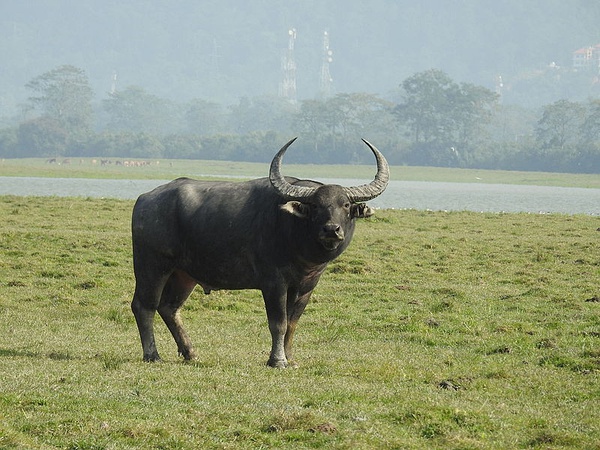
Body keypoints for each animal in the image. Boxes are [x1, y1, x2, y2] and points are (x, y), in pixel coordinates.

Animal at [130, 137, 390, 366]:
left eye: (345, 205)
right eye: (315, 206)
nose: (331, 229)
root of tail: (144, 199)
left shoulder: (306, 286)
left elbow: (293, 323)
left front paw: (290, 358)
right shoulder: (274, 283)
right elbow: (278, 323)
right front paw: (277, 360)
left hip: (184, 274)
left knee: (169, 308)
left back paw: (190, 352)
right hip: (152, 266)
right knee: (144, 306)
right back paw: (152, 355)